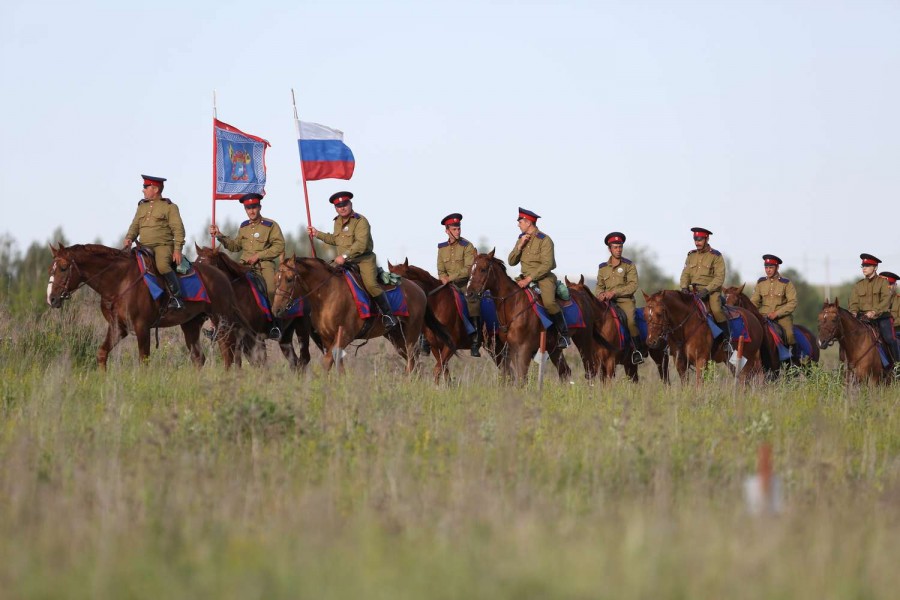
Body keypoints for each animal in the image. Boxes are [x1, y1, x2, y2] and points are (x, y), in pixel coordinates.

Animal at [46, 241, 250, 368]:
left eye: (63, 268)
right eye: (51, 269)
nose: (51, 299)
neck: (120, 282)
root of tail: (223, 277)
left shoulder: (142, 327)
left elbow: (143, 360)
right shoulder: (118, 327)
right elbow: (102, 354)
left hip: (222, 322)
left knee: (229, 353)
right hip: (191, 324)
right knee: (199, 357)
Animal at [192, 245, 322, 368]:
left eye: (208, 266)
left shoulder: (256, 337)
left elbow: (260, 363)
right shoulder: (227, 336)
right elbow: (234, 361)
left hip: (302, 326)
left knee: (304, 359)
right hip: (285, 334)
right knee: (294, 361)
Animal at [270, 254, 454, 376]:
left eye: (289, 279)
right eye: (275, 278)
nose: (276, 310)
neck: (329, 293)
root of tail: (419, 290)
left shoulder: (344, 334)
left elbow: (327, 361)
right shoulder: (328, 339)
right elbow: (336, 364)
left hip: (410, 334)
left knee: (411, 359)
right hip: (396, 337)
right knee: (413, 361)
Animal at [464, 250, 596, 384]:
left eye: (483, 269)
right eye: (470, 269)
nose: (469, 293)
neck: (514, 305)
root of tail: (582, 295)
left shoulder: (524, 349)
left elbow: (522, 379)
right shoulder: (512, 350)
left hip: (583, 340)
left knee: (590, 370)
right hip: (554, 348)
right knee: (565, 372)